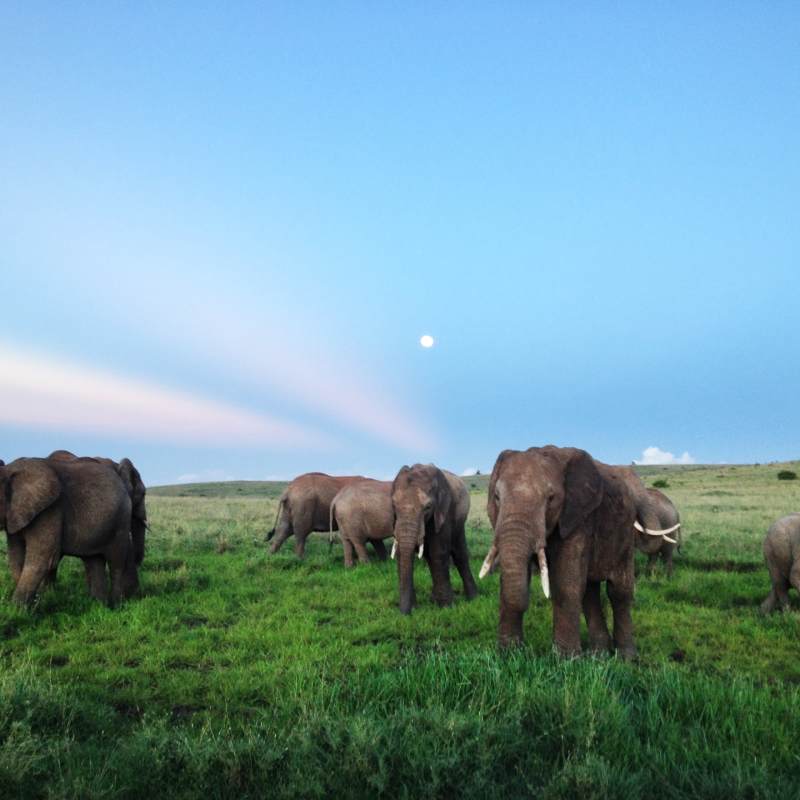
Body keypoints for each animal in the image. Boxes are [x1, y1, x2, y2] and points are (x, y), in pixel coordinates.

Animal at [0, 457, 138, 607]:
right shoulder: (15, 513)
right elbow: (15, 557)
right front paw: (33, 603)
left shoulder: (51, 510)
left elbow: (42, 560)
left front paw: (18, 608)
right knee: (94, 561)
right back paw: (98, 605)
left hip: (121, 521)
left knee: (116, 563)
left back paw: (115, 605)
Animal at [391, 464, 477, 614]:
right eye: (394, 506)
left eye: (427, 507)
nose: (404, 614)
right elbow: (401, 554)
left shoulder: (444, 511)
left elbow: (438, 552)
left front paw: (446, 607)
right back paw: (434, 600)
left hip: (459, 521)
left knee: (459, 554)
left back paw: (473, 597)